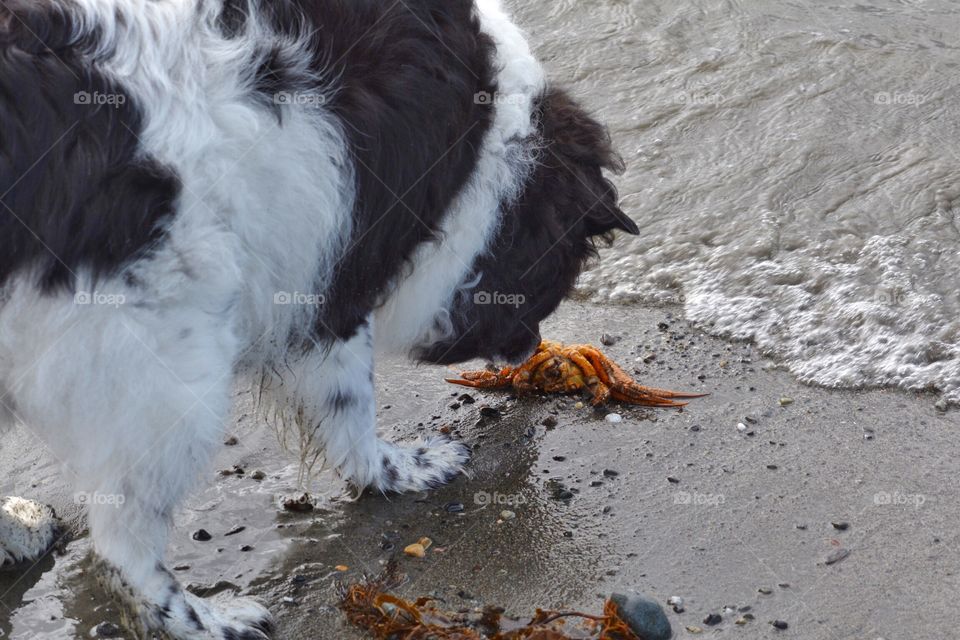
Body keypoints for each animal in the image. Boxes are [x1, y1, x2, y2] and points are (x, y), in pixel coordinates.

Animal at [0, 1, 640, 636]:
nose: (533, 348)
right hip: (173, 381)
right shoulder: (331, 281)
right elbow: (352, 414)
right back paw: (208, 619)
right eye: (556, 273)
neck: (480, 150)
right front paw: (407, 469)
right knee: (123, 550)